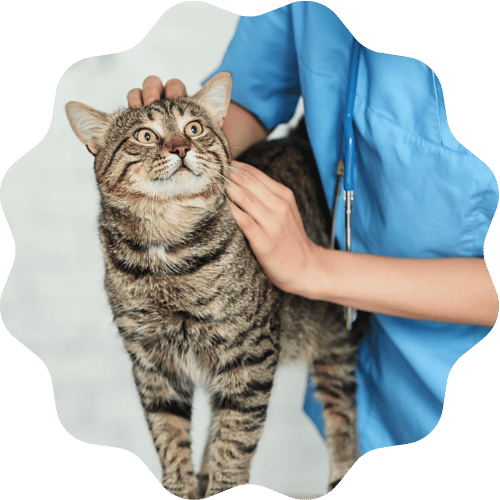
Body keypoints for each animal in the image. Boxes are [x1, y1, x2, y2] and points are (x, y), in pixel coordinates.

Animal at [65, 71, 360, 500]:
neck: (167, 254)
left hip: (336, 338)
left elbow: (234, 440)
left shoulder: (249, 356)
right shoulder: (153, 364)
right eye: (145, 136)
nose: (181, 147)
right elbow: (169, 436)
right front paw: (183, 487)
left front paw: (222, 483)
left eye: (194, 128)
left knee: (342, 410)